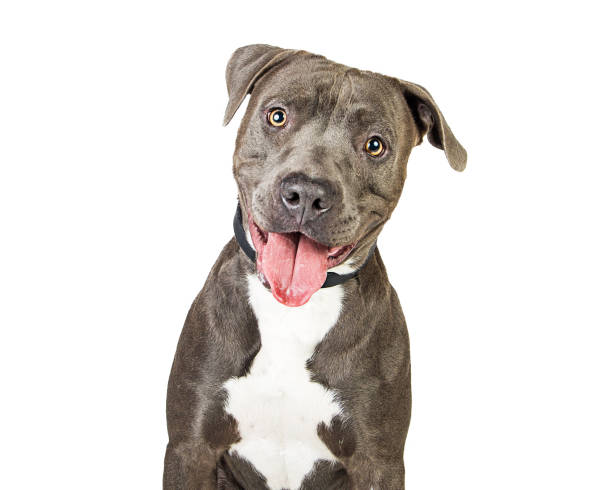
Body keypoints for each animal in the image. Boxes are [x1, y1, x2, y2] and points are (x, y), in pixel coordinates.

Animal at [165, 44, 466, 488]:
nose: (306, 192)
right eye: (277, 115)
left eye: (374, 145)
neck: (291, 313)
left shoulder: (378, 461)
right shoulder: (190, 449)